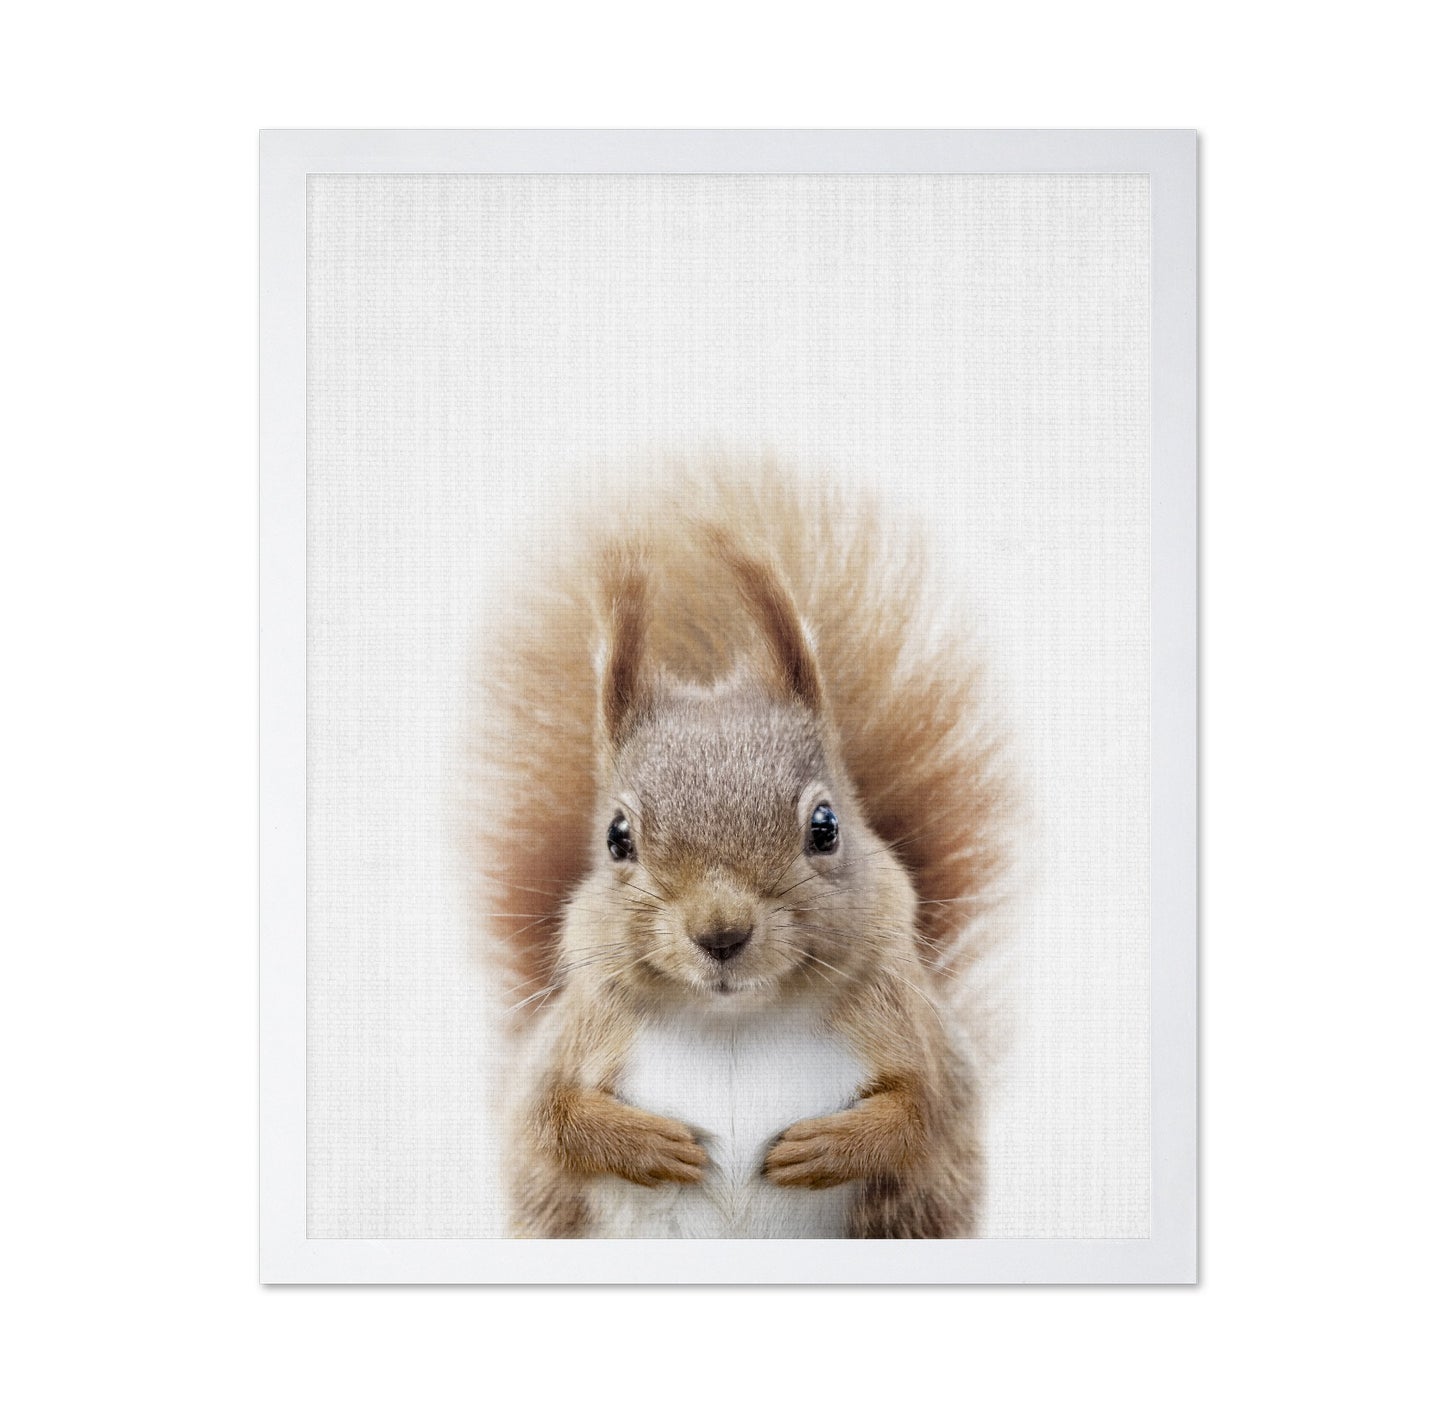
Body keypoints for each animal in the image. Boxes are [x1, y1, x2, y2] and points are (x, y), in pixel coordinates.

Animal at [471, 464, 1014, 1239]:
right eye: (617, 836)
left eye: (826, 826)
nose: (721, 933)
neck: (733, 1021)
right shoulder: (572, 1040)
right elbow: (549, 1118)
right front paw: (648, 1143)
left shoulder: (918, 1033)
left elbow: (927, 1110)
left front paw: (830, 1144)